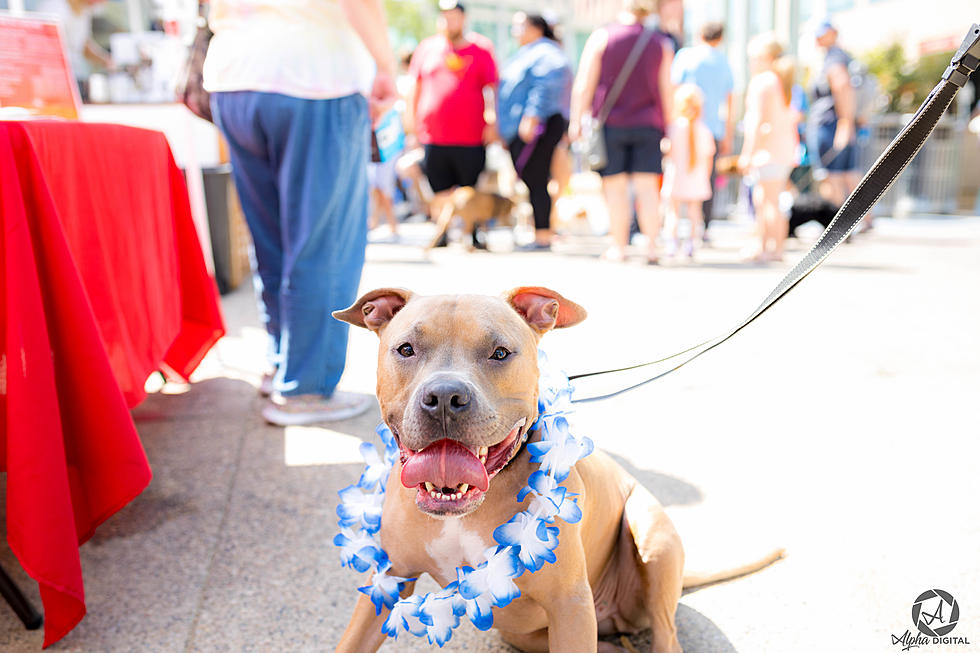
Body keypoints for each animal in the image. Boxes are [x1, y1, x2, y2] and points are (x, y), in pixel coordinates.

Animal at [334, 286, 780, 652]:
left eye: (500, 353)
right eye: (406, 349)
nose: (445, 396)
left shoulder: (570, 605)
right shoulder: (385, 584)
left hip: (650, 537)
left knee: (666, 634)